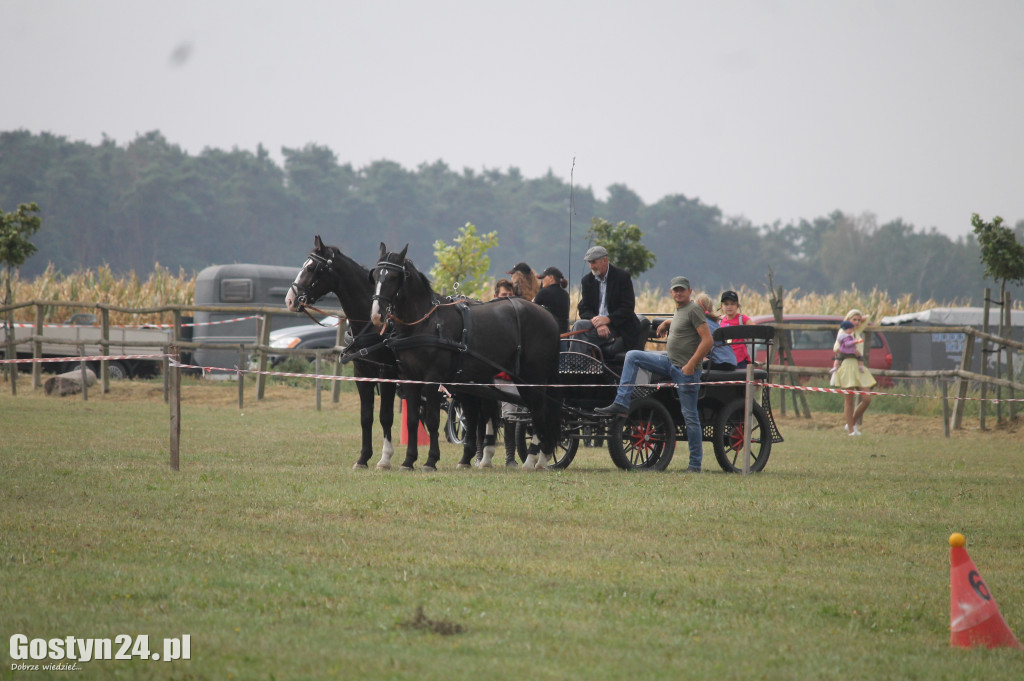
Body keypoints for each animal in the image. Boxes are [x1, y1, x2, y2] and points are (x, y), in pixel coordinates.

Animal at [282, 235, 438, 466]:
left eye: (311, 268)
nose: (290, 300)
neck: (370, 324)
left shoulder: (386, 372)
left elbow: (385, 416)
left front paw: (385, 458)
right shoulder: (362, 372)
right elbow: (366, 417)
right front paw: (363, 457)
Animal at [368, 241, 561, 471]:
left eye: (393, 277)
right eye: (375, 275)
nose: (376, 316)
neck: (425, 322)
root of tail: (548, 315)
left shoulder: (432, 378)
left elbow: (432, 420)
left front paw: (431, 460)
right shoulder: (409, 378)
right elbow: (413, 420)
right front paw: (408, 461)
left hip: (532, 377)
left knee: (539, 410)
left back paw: (535, 460)